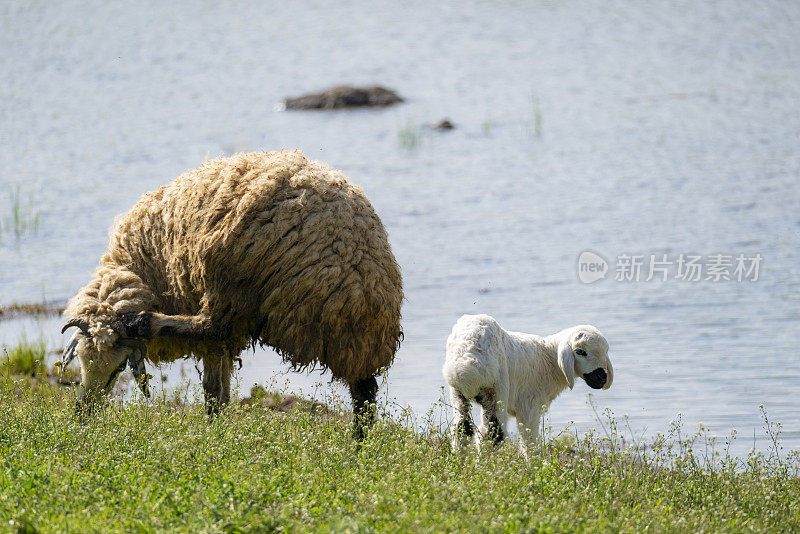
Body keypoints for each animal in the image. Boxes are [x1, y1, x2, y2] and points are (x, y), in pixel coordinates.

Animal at [59, 150, 404, 440]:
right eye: (82, 362)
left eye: (119, 369)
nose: (83, 413)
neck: (139, 268)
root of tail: (353, 277)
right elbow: (223, 384)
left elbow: (214, 383)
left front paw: (214, 430)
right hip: (354, 338)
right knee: (364, 392)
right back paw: (358, 445)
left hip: (230, 282)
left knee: (209, 326)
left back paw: (144, 322)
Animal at [444, 316, 612, 454]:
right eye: (580, 352)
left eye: (605, 351)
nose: (602, 377)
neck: (549, 359)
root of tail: (466, 361)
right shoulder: (528, 405)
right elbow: (529, 440)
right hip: (497, 390)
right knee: (494, 434)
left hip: (458, 393)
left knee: (462, 428)